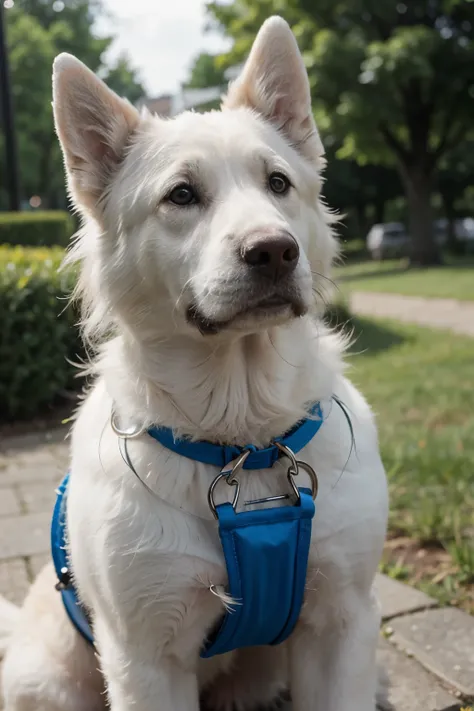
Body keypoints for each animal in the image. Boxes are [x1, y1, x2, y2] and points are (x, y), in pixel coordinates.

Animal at [0, 15, 388, 711]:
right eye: (182, 195)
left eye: (278, 183)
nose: (274, 251)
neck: (244, 440)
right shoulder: (146, 657)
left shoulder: (344, 622)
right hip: (48, 683)